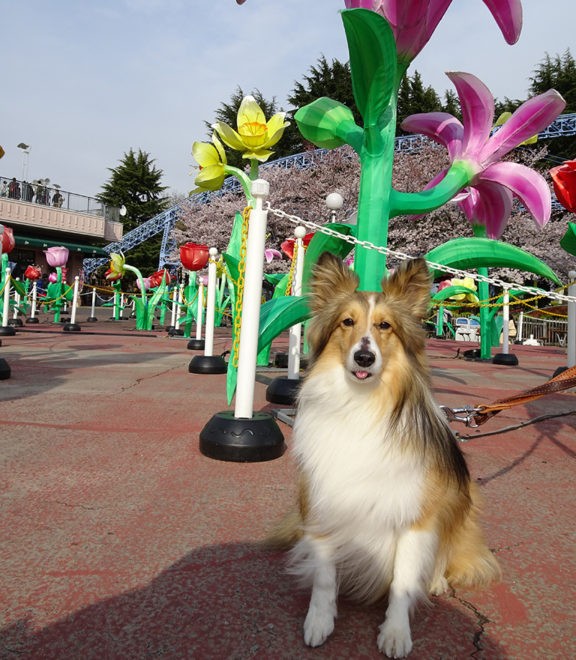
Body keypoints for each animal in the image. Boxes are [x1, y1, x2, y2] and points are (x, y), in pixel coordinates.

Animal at [270, 251, 500, 656]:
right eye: (347, 322)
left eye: (385, 326)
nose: (364, 357)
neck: (363, 404)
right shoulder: (323, 502)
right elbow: (324, 577)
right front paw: (319, 621)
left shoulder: (415, 514)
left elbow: (403, 580)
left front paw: (395, 632)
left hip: (459, 498)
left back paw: (436, 580)